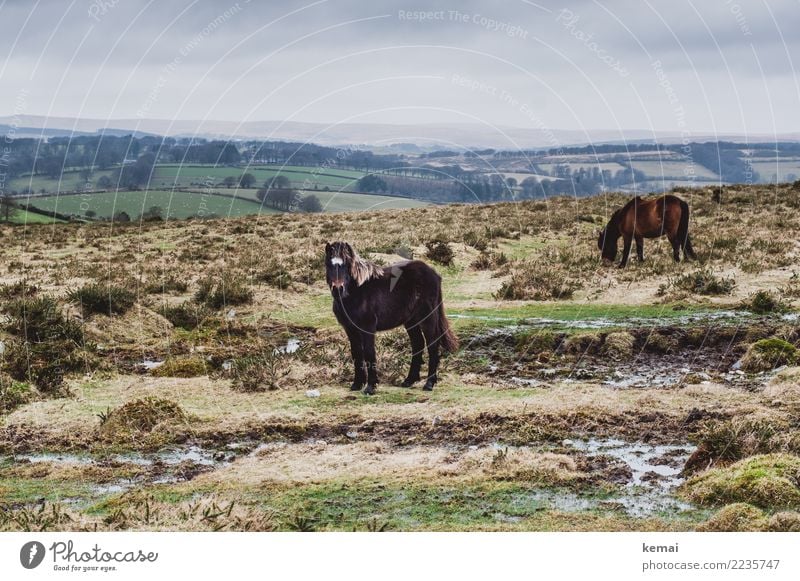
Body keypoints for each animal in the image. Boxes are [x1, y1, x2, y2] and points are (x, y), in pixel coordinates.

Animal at [324, 240, 456, 394]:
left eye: (345, 265)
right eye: (328, 265)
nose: (338, 289)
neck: (357, 292)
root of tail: (433, 273)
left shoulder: (367, 327)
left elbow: (369, 352)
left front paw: (370, 387)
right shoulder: (350, 329)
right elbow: (356, 353)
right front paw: (357, 384)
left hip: (427, 318)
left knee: (432, 344)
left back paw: (429, 384)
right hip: (411, 321)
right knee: (417, 344)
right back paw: (409, 380)